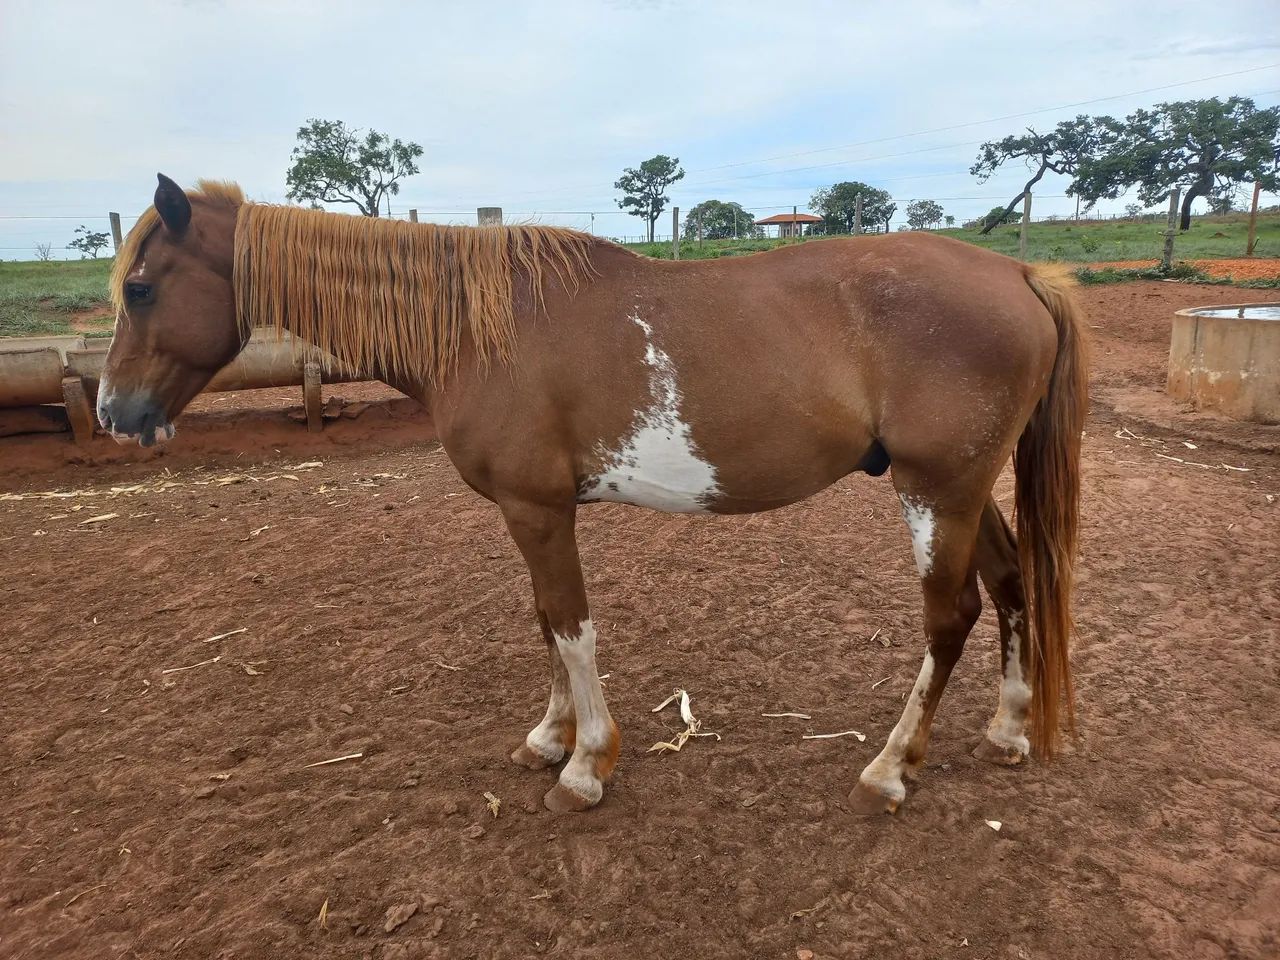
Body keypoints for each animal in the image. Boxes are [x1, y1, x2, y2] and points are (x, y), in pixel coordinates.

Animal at [98, 174, 1086, 815]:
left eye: (140, 288)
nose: (114, 412)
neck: (477, 331)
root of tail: (1018, 275)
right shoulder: (531, 513)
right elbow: (545, 623)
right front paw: (549, 738)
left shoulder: (538, 508)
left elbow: (571, 627)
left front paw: (587, 763)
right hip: (964, 490)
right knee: (1009, 585)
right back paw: (1005, 728)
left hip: (938, 489)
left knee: (951, 615)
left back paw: (890, 766)